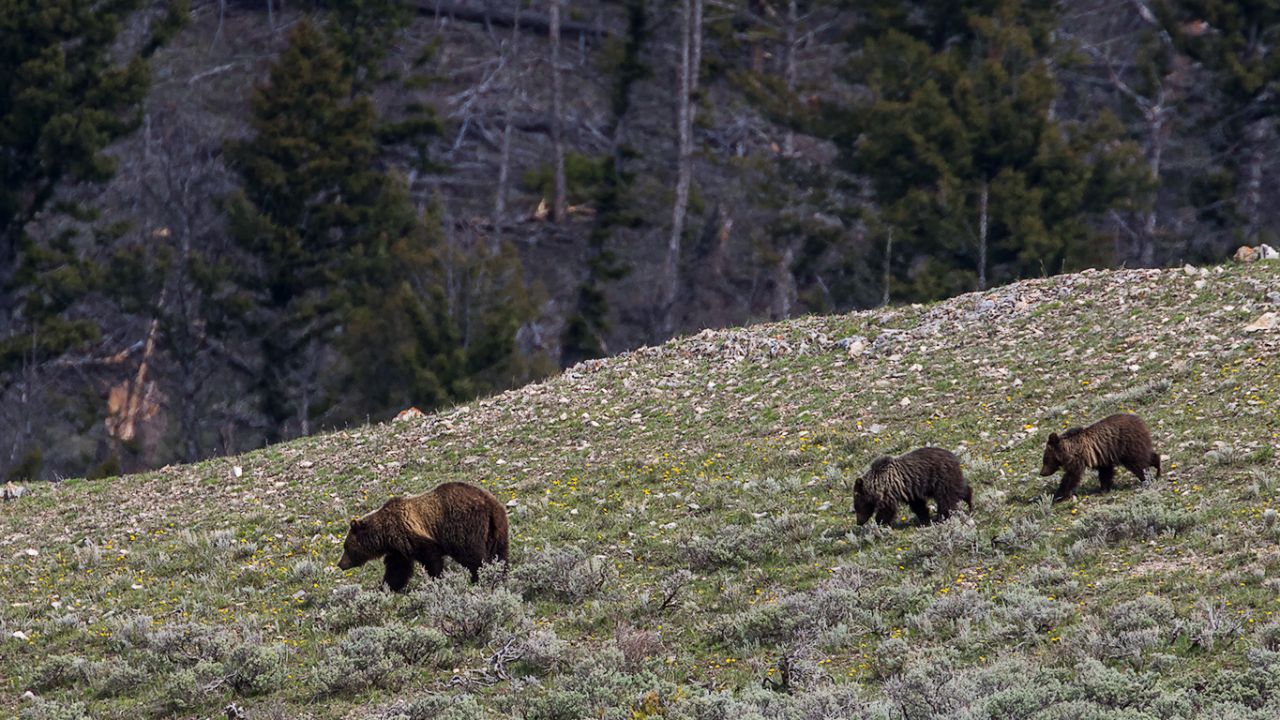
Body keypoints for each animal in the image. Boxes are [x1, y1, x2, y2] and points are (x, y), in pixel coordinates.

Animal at [337, 481, 509, 590]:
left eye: (346, 547)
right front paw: (385, 587)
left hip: (465, 526)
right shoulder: (399, 550)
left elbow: (431, 559)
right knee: (500, 553)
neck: (385, 535)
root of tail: (489, 504)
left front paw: (436, 579)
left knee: (473, 556)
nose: (340, 564)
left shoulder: (412, 536)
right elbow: (397, 569)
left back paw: (478, 578)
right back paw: (500, 574)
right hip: (498, 527)